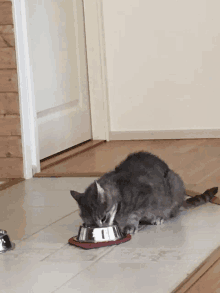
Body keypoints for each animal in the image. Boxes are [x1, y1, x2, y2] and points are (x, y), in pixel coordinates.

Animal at [70, 152, 218, 234]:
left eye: (102, 218)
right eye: (91, 225)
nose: (103, 228)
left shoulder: (146, 196)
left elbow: (135, 214)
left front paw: (130, 225)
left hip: (173, 182)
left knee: (171, 212)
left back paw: (158, 217)